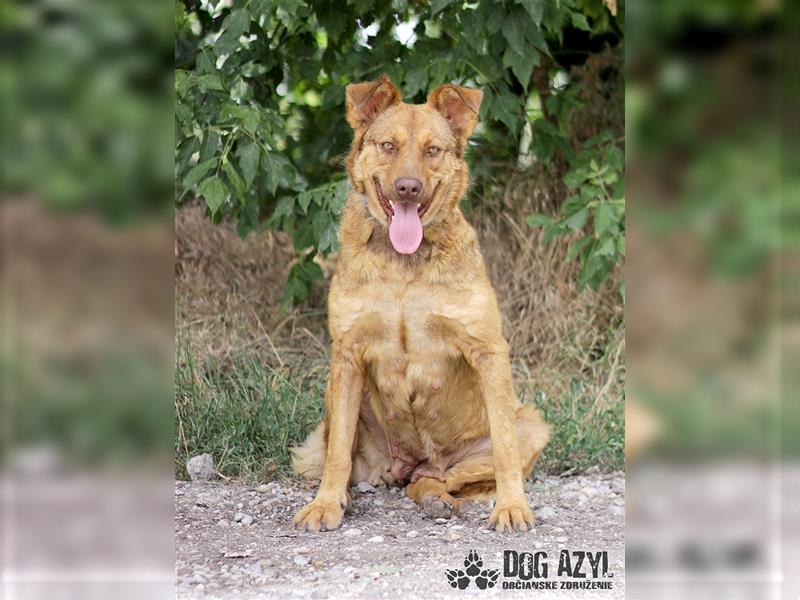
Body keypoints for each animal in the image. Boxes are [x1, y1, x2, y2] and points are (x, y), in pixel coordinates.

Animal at [292, 76, 552, 536]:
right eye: (388, 146)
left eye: (432, 150)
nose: (408, 188)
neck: (404, 265)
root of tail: (412, 463)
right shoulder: (347, 354)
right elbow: (338, 450)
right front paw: (324, 505)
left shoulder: (488, 351)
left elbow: (504, 448)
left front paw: (512, 506)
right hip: (336, 400)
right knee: (356, 460)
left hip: (530, 426)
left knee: (440, 477)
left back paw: (438, 497)